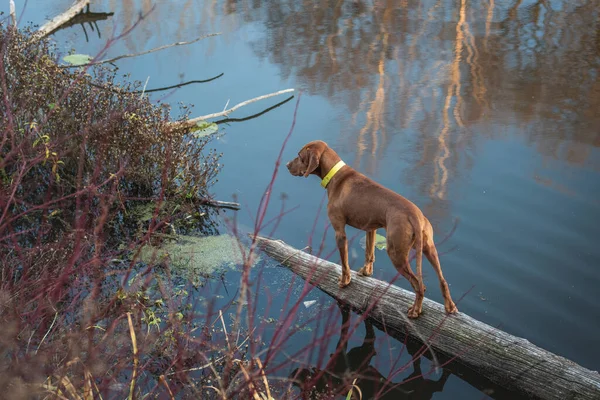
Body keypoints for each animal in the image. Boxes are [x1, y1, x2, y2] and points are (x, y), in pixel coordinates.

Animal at [288, 141, 458, 318]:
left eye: (299, 156)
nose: (287, 165)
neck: (336, 176)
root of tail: (415, 216)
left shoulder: (340, 233)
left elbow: (344, 262)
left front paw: (345, 281)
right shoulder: (371, 228)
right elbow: (369, 254)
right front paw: (365, 272)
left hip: (396, 253)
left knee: (419, 285)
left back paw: (415, 311)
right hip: (429, 248)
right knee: (443, 280)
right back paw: (450, 307)